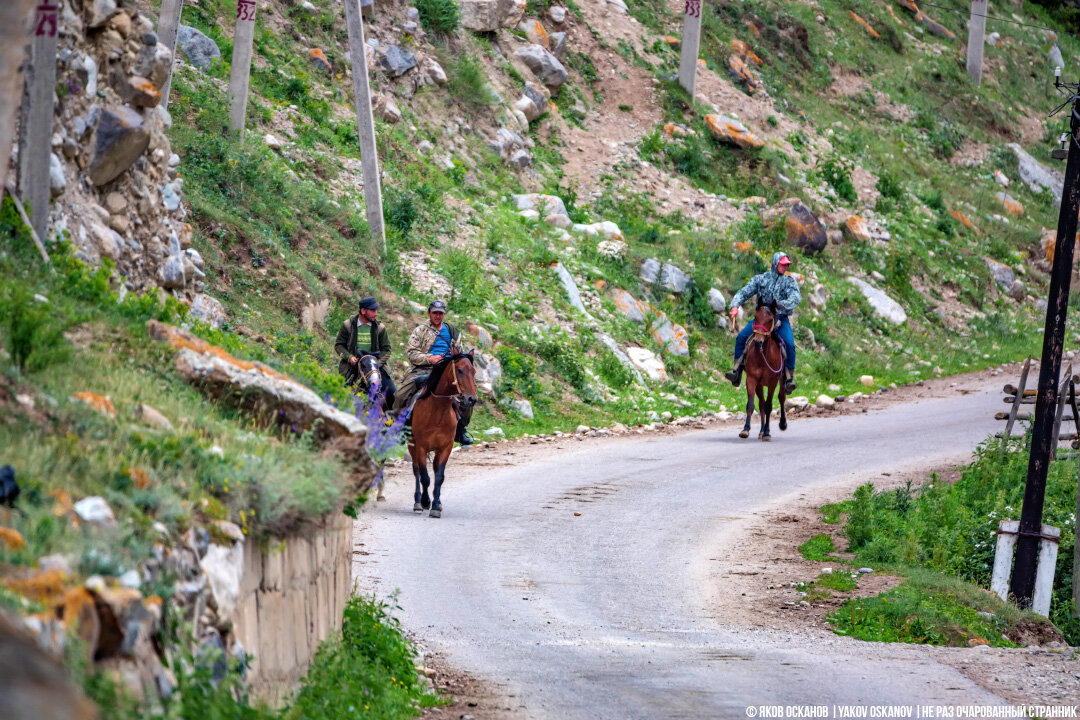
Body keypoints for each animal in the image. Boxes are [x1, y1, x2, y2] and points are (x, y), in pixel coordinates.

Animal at [406, 354, 475, 518]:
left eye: (474, 371)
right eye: (460, 370)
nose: (472, 399)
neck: (437, 412)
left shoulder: (445, 447)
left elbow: (439, 476)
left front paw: (436, 506)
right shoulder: (421, 446)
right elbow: (425, 477)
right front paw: (425, 501)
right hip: (412, 445)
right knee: (416, 471)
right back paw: (418, 502)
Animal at [738, 302, 790, 442]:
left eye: (771, 319)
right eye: (755, 317)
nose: (758, 341)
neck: (763, 355)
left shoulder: (772, 382)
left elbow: (769, 406)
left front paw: (767, 433)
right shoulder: (751, 379)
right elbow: (751, 405)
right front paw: (745, 429)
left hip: (781, 381)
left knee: (781, 398)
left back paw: (782, 424)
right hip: (760, 385)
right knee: (761, 403)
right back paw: (761, 431)